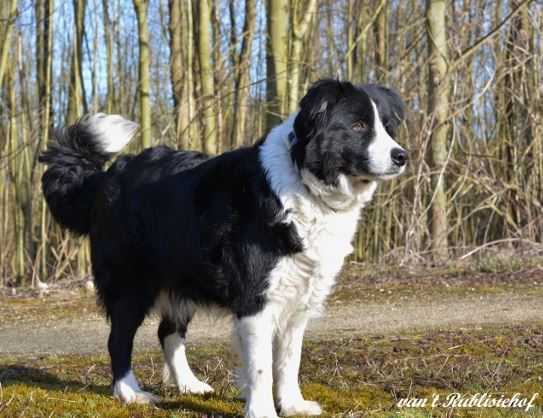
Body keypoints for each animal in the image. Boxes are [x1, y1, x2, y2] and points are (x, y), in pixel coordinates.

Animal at [40, 79, 406, 418]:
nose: (402, 156)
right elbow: (261, 367)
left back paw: (189, 384)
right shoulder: (255, 299)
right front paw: (263, 412)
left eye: (387, 128)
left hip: (182, 278)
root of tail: (105, 177)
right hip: (132, 284)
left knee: (168, 332)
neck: (304, 184)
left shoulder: (298, 297)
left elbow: (289, 360)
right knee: (119, 338)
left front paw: (292, 405)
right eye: (358, 126)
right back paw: (131, 392)